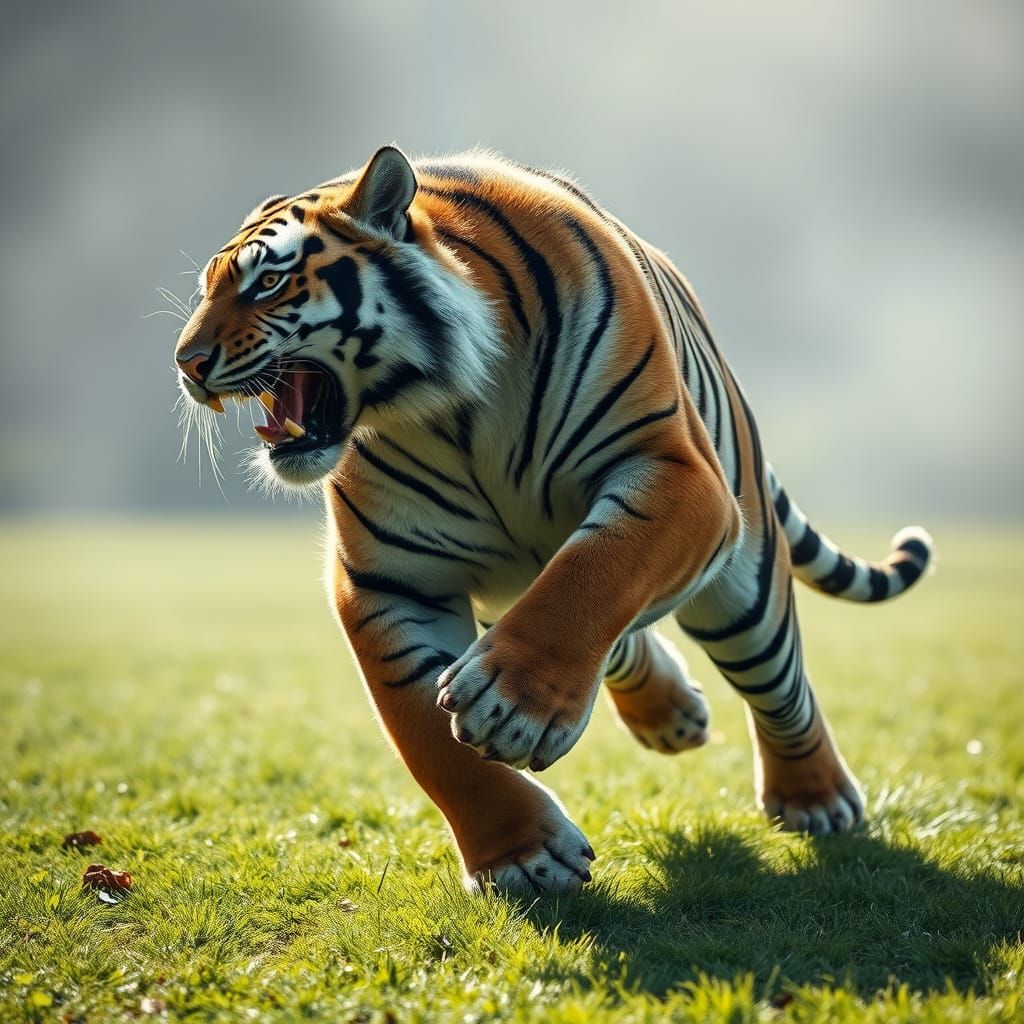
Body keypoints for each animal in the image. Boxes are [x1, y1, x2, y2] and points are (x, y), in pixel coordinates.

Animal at [173, 146, 932, 896]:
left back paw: (816, 798)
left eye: (269, 282)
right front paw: (521, 857)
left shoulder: (676, 470)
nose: (187, 363)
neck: (454, 410)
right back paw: (670, 715)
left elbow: (595, 574)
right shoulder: (387, 579)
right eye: (207, 289)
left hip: (744, 585)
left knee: (780, 686)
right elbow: (427, 734)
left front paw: (513, 709)